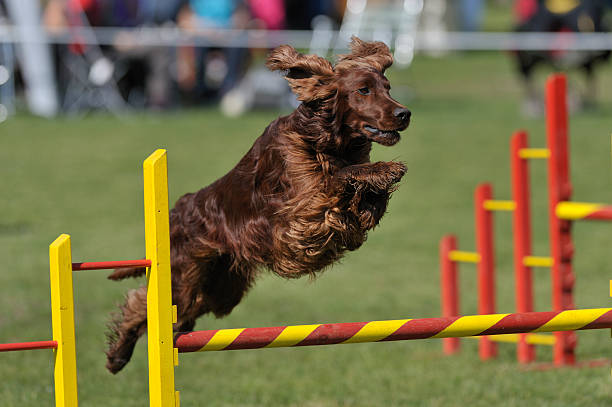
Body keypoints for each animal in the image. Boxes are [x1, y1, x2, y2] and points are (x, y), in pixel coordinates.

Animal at [105, 36, 412, 374]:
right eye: (363, 90)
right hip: (184, 276)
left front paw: (373, 189)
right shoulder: (304, 205)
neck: (326, 141)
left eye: (388, 87)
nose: (405, 114)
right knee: (140, 304)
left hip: (219, 287)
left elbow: (364, 203)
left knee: (178, 314)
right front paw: (383, 170)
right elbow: (337, 180)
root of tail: (177, 211)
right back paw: (117, 356)